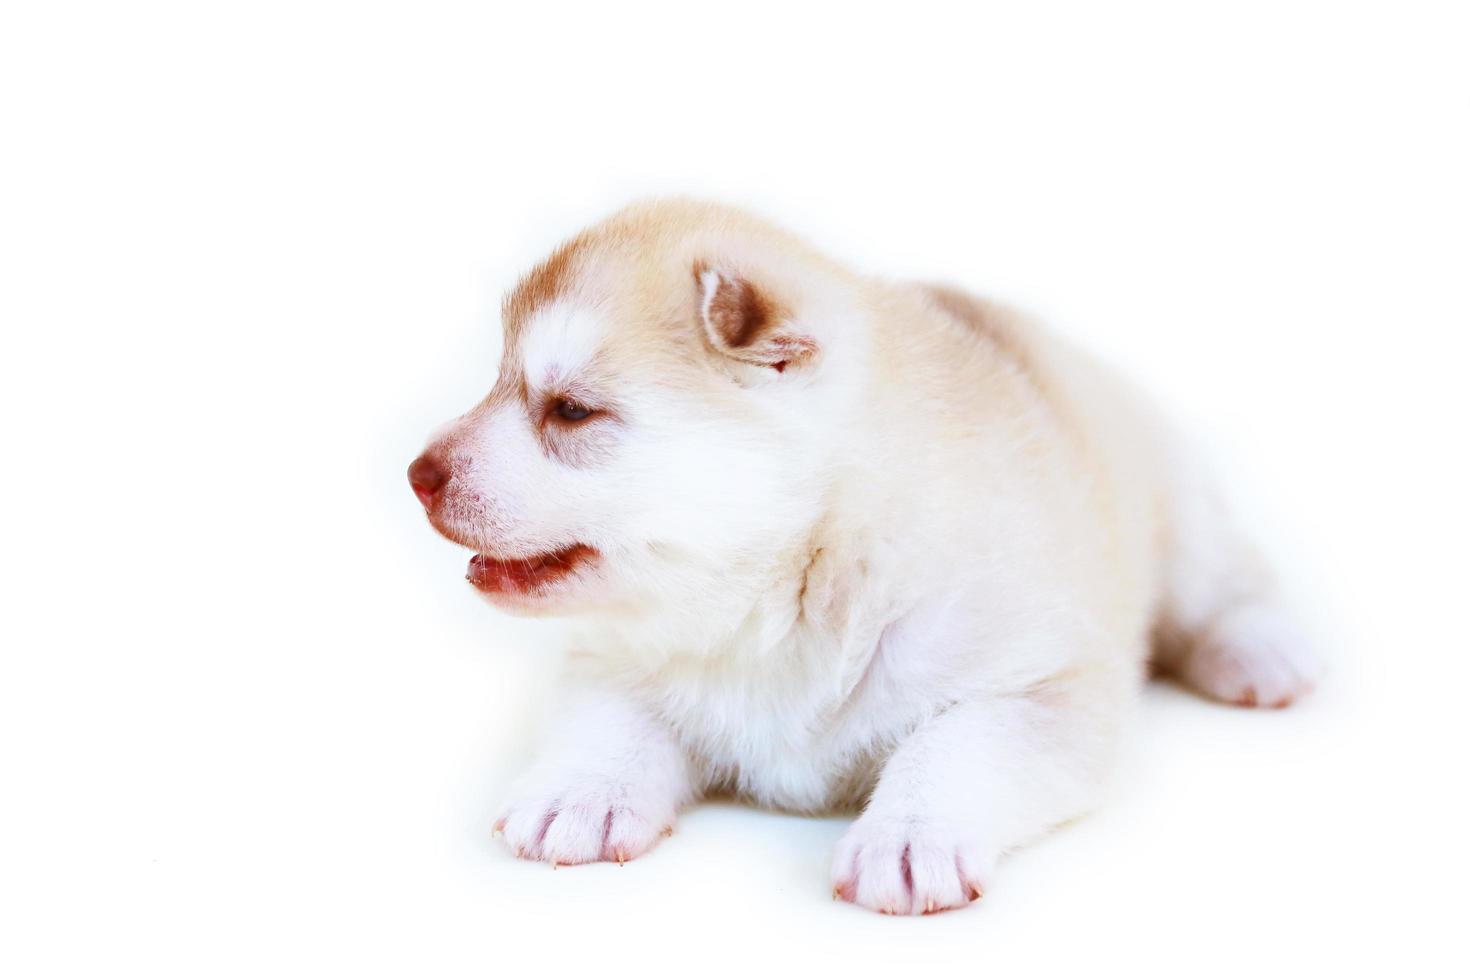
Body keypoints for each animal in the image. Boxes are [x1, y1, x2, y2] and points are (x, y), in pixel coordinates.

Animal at [408, 201, 1317, 922]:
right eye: (496, 380)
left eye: (570, 411)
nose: (417, 473)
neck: (778, 598)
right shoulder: (613, 654)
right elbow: (608, 716)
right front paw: (582, 791)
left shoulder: (1041, 683)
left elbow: (956, 742)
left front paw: (909, 836)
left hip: (1176, 503)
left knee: (1224, 584)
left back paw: (1260, 652)